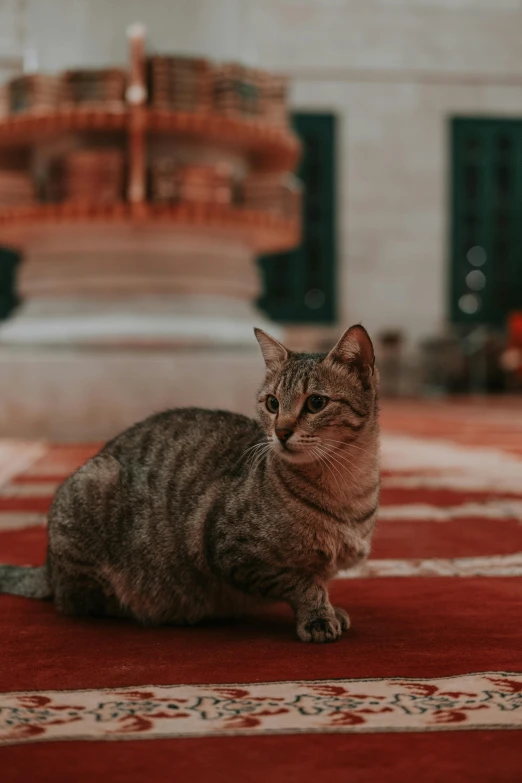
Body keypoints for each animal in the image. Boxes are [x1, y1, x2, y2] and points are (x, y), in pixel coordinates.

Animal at [0, 324, 378, 644]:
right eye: (272, 403)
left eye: (316, 402)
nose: (281, 432)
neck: (347, 488)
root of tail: (48, 567)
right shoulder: (234, 551)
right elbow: (302, 584)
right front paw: (318, 616)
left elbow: (317, 582)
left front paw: (330, 609)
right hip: (91, 495)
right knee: (78, 601)